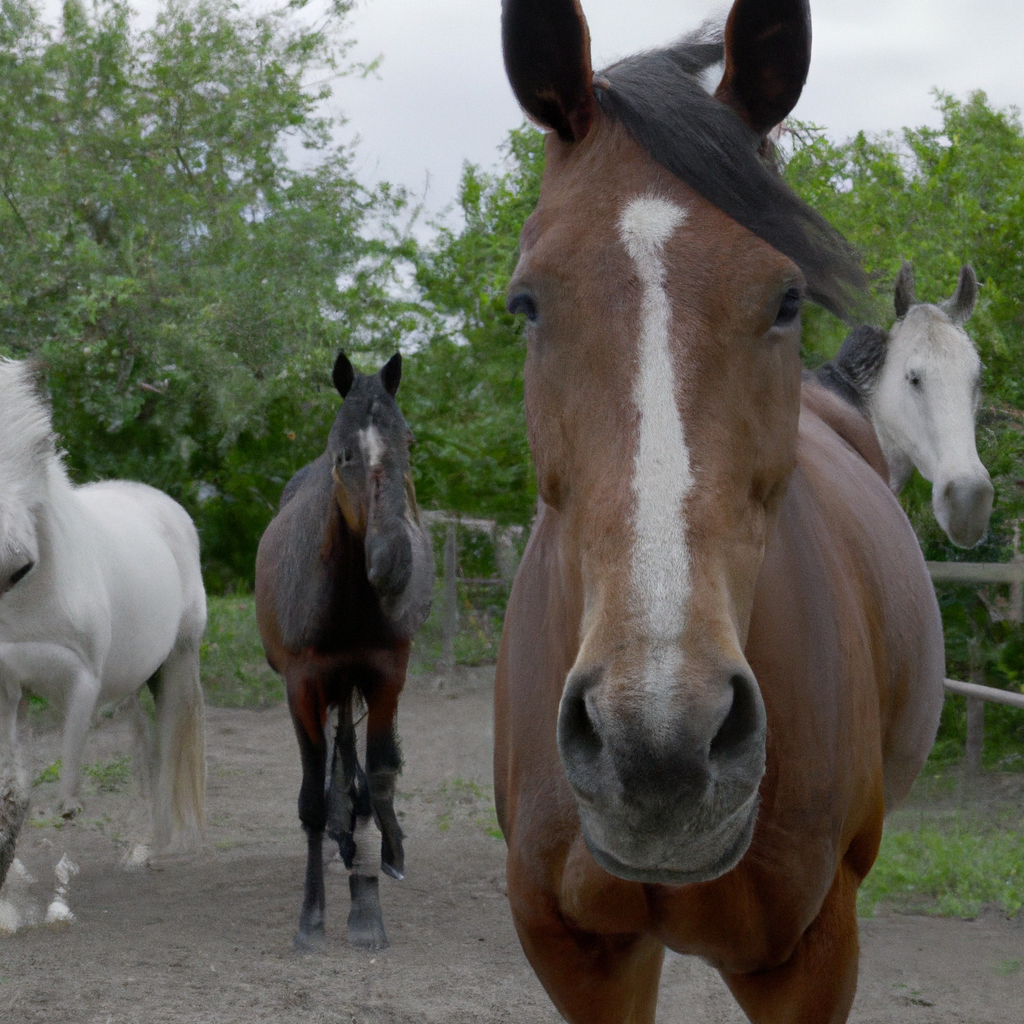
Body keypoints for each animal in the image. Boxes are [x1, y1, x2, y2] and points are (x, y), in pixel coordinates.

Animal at [0, 356, 207, 884]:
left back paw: (160, 851)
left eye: (40, 447)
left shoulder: (82, 679)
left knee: (166, 749)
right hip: (131, 682)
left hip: (176, 662)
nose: (9, 565)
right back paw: (143, 847)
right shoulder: (8, 685)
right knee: (145, 752)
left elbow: (65, 778)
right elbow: (13, 790)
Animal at [258, 352, 434, 950]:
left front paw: (372, 892)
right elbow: (312, 799)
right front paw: (312, 916)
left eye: (409, 441)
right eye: (345, 454)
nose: (394, 562)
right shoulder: (302, 687)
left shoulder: (385, 677)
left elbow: (378, 776)